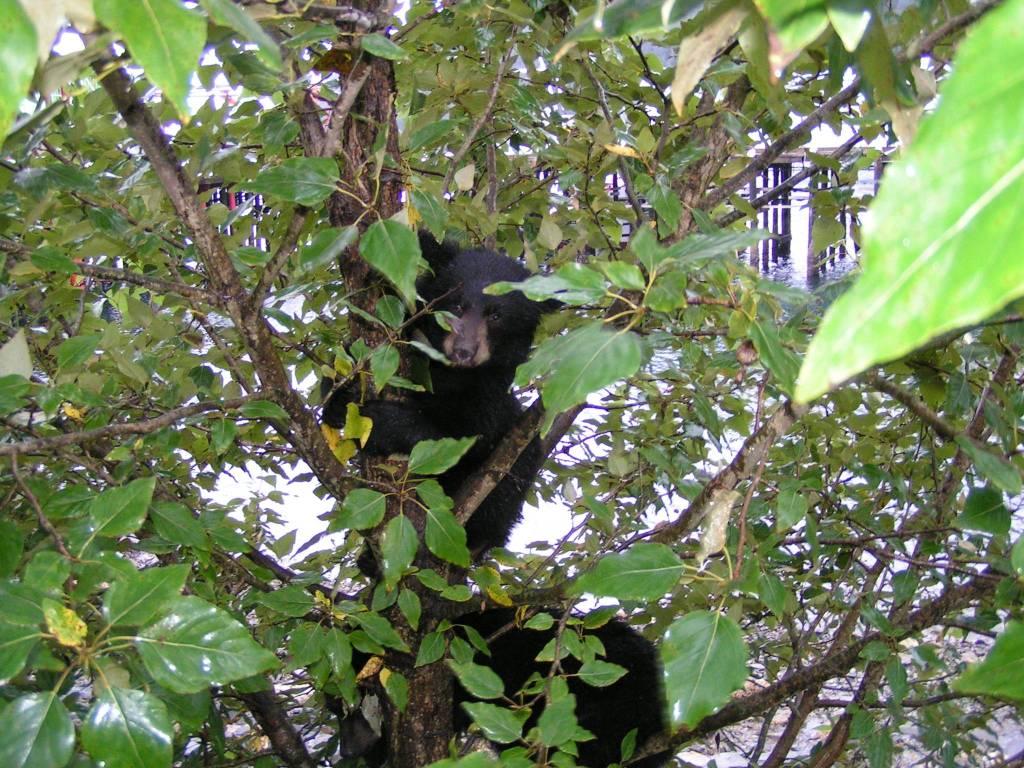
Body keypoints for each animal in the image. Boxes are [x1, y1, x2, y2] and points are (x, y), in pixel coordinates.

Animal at [322, 231, 555, 567]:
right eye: (456, 304)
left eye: (497, 315)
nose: (463, 351)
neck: (449, 373)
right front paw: (339, 398)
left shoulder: (488, 395)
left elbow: (463, 438)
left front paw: (381, 421)